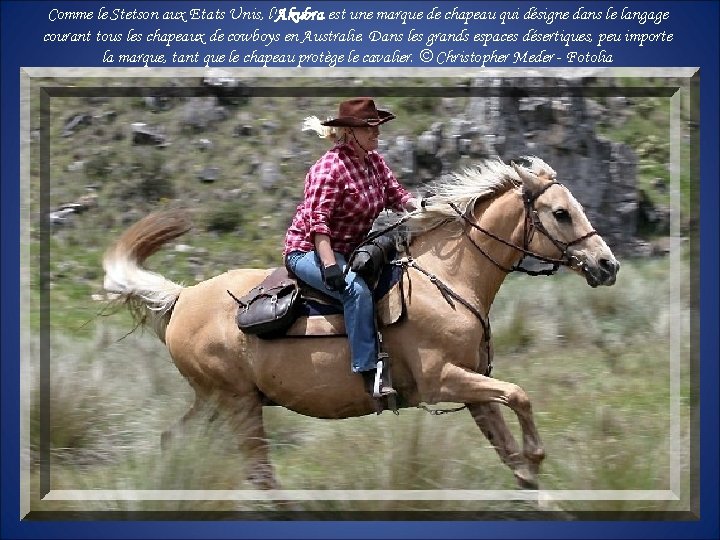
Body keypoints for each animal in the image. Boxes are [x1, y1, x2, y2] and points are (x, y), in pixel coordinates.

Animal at [102, 157, 620, 490]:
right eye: (561, 213)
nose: (607, 265)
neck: (446, 280)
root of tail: (182, 297)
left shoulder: (473, 386)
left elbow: (510, 449)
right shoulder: (443, 381)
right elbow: (520, 396)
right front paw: (537, 455)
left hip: (216, 401)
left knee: (175, 440)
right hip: (237, 404)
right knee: (260, 473)